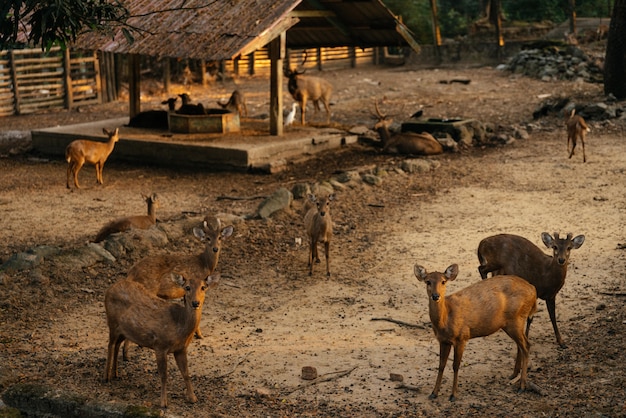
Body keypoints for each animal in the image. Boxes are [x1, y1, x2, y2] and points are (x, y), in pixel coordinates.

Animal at [103, 270, 218, 406]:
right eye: (187, 287)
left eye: (203, 287)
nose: (195, 303)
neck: (180, 327)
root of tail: (110, 289)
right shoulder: (160, 345)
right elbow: (164, 375)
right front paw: (163, 402)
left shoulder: (181, 349)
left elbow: (186, 373)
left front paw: (192, 398)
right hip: (112, 322)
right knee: (110, 345)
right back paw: (106, 377)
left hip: (124, 331)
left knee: (116, 345)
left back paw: (115, 374)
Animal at [119, 216, 232, 360]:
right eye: (207, 238)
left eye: (219, 237)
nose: (215, 248)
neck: (204, 265)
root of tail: (131, 272)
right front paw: (200, 335)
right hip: (147, 289)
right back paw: (126, 355)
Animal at [414, 264, 536, 402]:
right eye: (428, 281)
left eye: (443, 281)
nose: (436, 296)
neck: (445, 320)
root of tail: (533, 290)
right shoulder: (443, 341)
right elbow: (441, 365)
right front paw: (434, 393)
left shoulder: (462, 337)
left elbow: (455, 366)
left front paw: (453, 395)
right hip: (513, 323)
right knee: (521, 345)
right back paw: (514, 376)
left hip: (516, 319)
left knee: (526, 345)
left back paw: (522, 386)